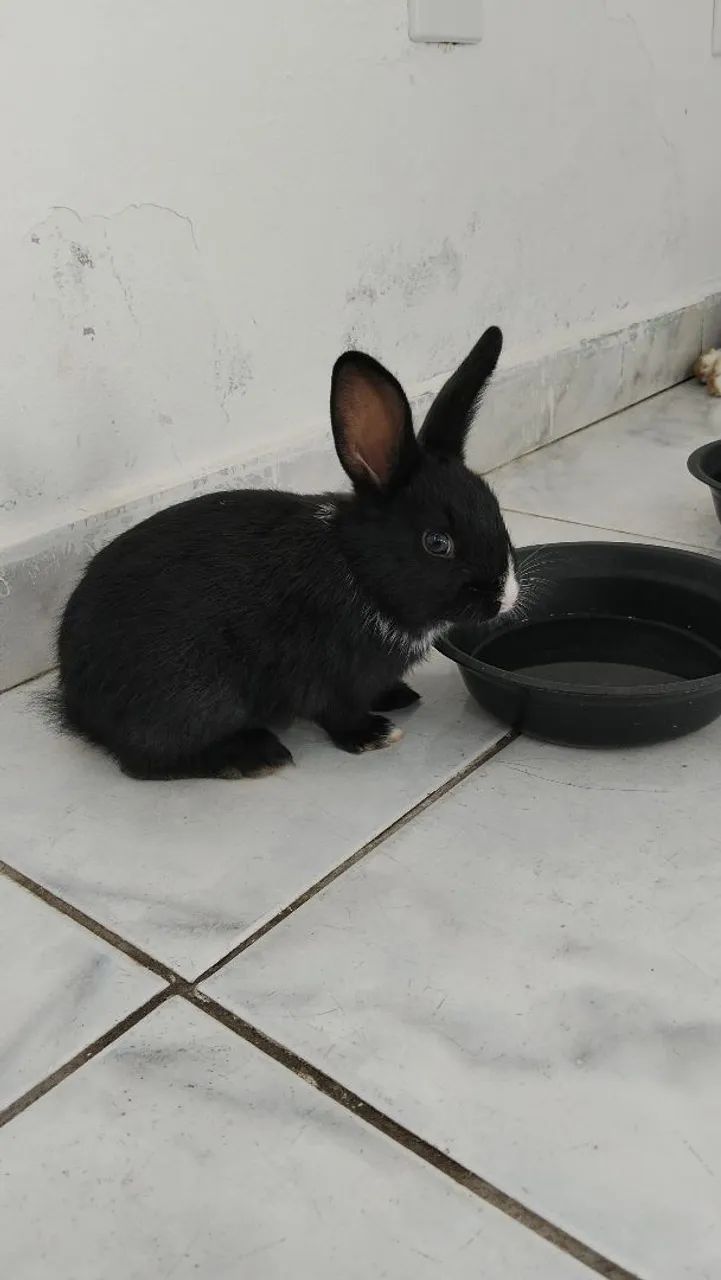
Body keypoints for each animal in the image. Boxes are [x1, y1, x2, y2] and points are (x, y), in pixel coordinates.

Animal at [56, 325, 519, 780]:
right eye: (437, 543)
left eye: (496, 511)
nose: (506, 597)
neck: (359, 569)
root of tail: (77, 705)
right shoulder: (325, 678)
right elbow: (337, 713)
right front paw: (374, 735)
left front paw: (397, 696)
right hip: (193, 698)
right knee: (145, 763)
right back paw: (257, 756)